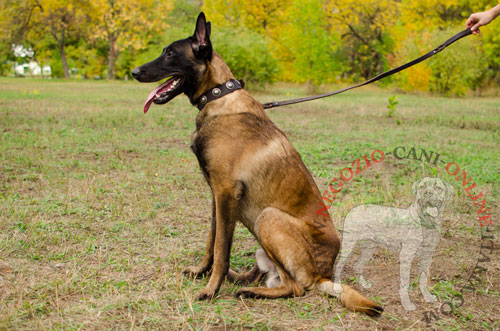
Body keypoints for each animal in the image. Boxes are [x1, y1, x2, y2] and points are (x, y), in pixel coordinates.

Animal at [132, 11, 382, 316]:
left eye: (169, 53)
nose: (134, 72)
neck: (218, 96)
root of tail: (324, 275)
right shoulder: (216, 196)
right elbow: (212, 242)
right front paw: (203, 272)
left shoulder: (226, 192)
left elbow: (222, 249)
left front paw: (210, 289)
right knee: (268, 276)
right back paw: (242, 281)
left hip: (268, 218)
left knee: (295, 287)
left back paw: (251, 290)